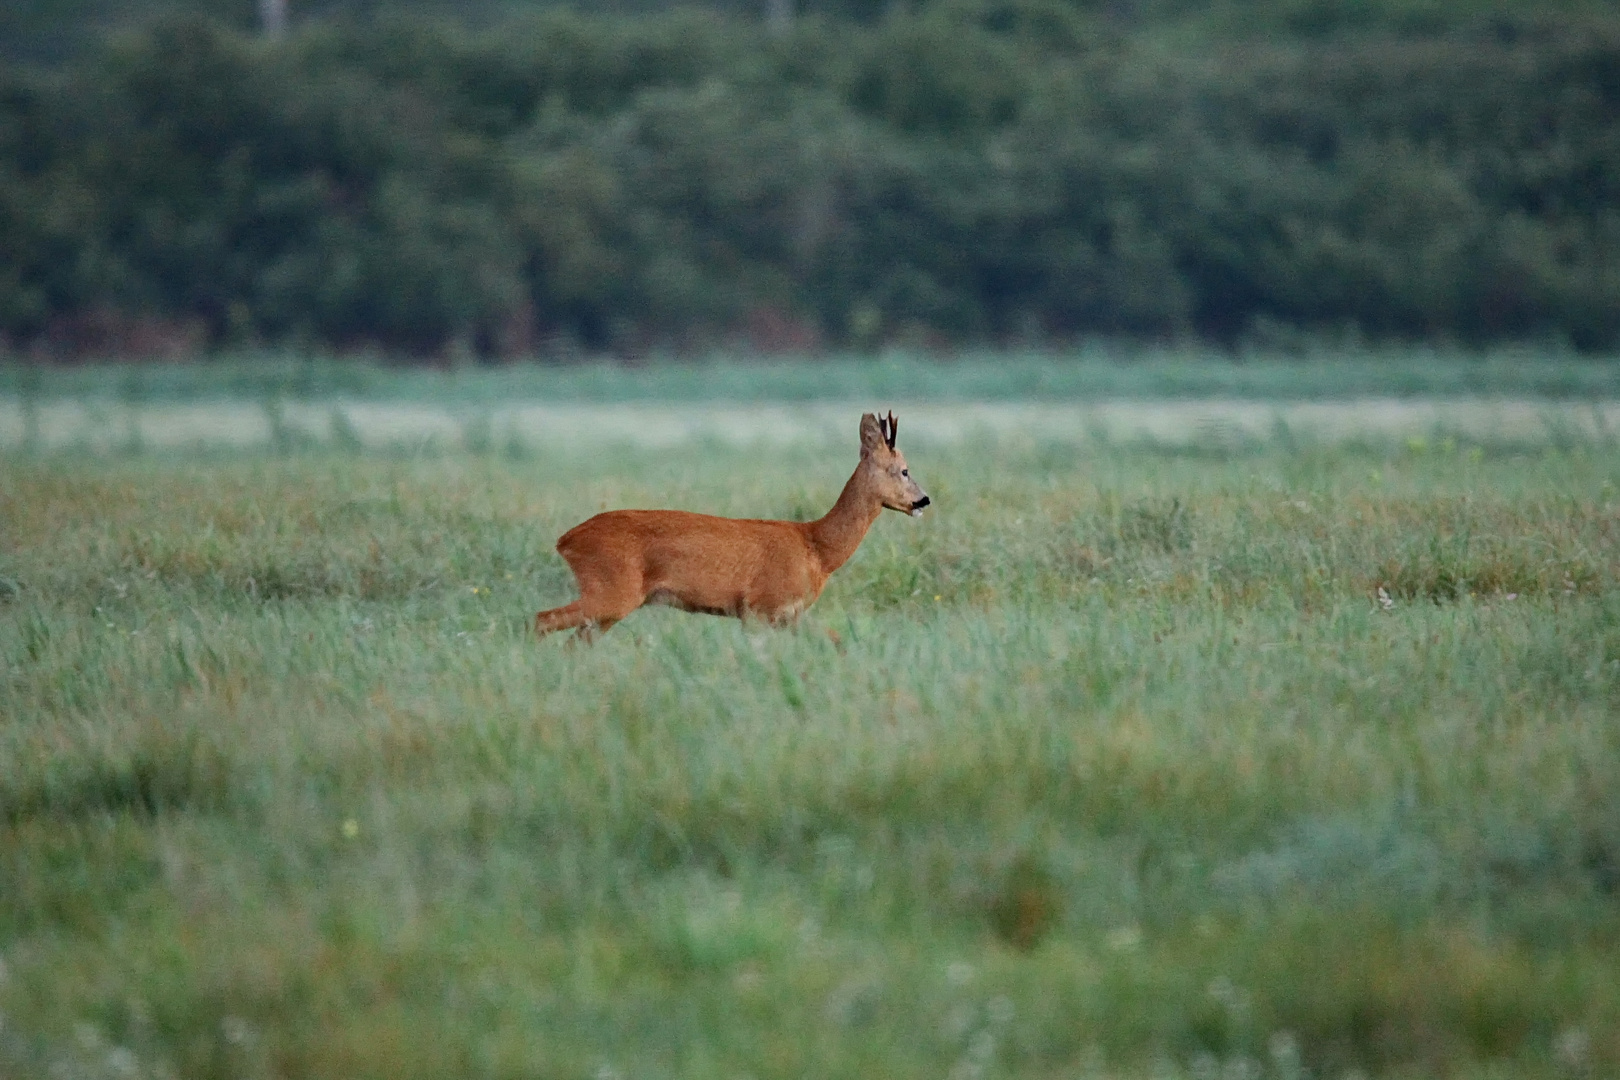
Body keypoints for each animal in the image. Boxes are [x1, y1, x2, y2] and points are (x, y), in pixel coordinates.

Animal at [537, 409, 933, 637]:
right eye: (904, 470)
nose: (923, 500)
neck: (817, 548)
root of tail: (565, 540)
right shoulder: (761, 607)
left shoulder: (787, 616)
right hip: (611, 590)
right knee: (541, 619)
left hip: (608, 604)